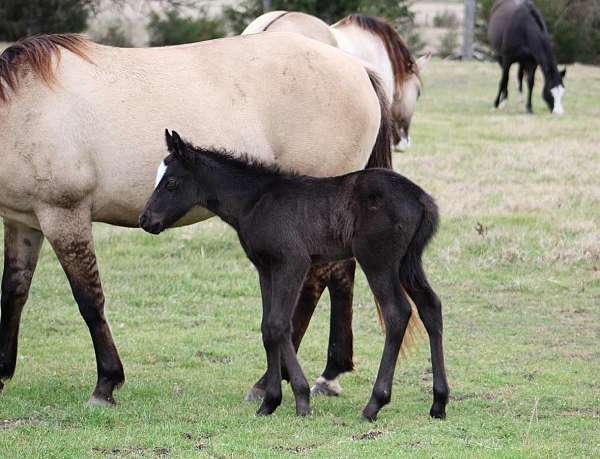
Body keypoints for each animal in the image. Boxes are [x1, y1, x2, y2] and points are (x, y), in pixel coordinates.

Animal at [0, 33, 392, 406]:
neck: (25, 109)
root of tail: (356, 68)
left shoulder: (64, 214)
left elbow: (89, 299)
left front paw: (106, 383)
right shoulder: (24, 222)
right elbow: (14, 289)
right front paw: (2, 373)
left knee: (314, 284)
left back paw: (267, 383)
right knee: (340, 275)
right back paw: (329, 374)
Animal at [142, 131, 450, 422]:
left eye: (171, 182)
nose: (146, 220)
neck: (254, 201)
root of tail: (422, 199)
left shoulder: (293, 262)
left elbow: (278, 324)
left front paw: (300, 399)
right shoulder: (266, 267)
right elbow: (268, 328)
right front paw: (270, 402)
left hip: (378, 261)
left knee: (397, 312)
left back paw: (374, 404)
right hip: (408, 263)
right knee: (431, 307)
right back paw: (439, 402)